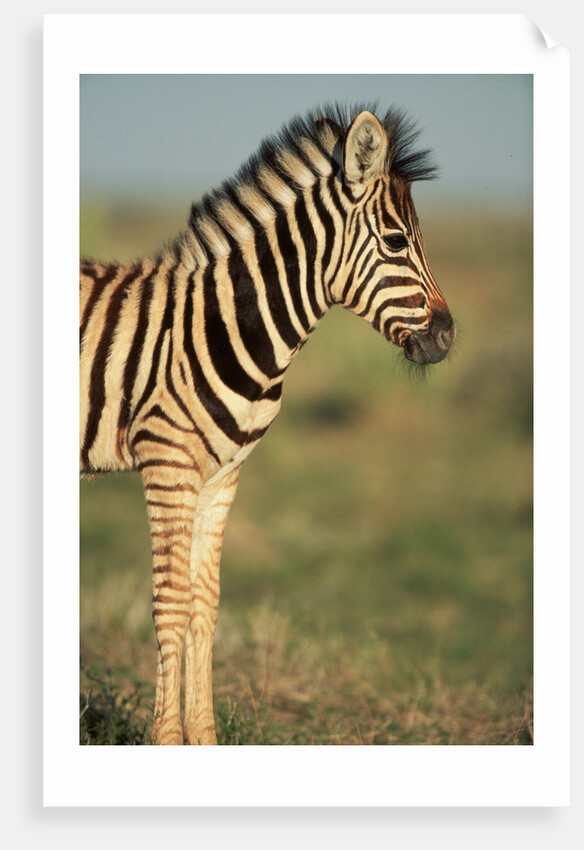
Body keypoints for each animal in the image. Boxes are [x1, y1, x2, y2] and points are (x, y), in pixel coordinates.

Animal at [80, 105, 455, 745]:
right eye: (396, 241)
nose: (448, 338)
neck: (226, 326)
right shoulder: (167, 464)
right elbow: (170, 602)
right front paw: (166, 740)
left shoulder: (221, 476)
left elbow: (204, 606)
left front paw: (202, 740)